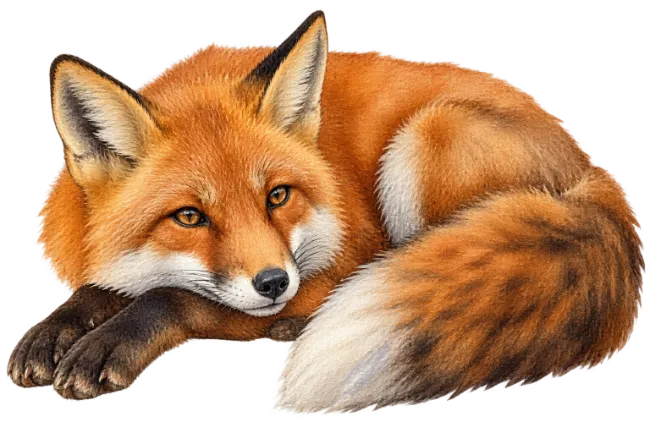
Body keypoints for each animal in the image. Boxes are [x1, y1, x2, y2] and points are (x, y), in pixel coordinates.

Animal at [7, 9, 644, 415]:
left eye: (277, 197)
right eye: (189, 218)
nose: (273, 283)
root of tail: (599, 181)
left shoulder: (333, 264)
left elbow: (177, 296)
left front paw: (109, 340)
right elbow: (102, 290)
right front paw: (53, 332)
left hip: (426, 138)